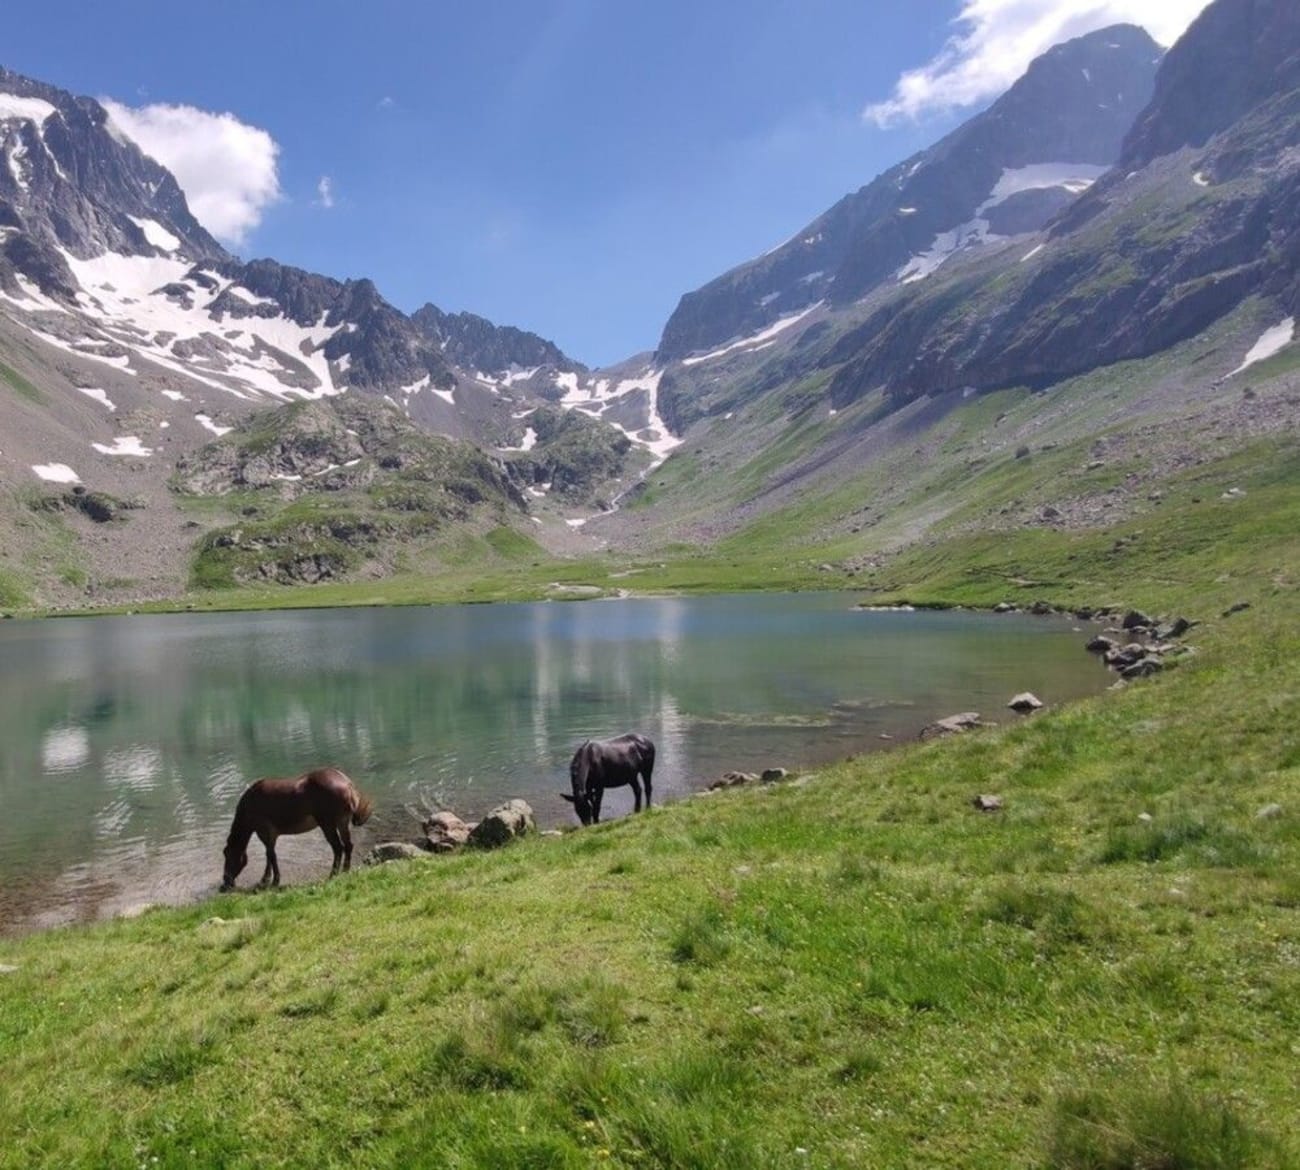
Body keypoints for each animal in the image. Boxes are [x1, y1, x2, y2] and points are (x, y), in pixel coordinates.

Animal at [220, 764, 374, 889]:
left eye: (228, 854)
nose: (225, 881)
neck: (249, 805)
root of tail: (348, 784)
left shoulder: (264, 831)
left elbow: (271, 855)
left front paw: (274, 881)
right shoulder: (269, 835)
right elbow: (269, 855)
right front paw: (265, 879)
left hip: (327, 824)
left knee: (338, 848)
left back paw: (332, 874)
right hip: (342, 822)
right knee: (348, 845)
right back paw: (345, 871)